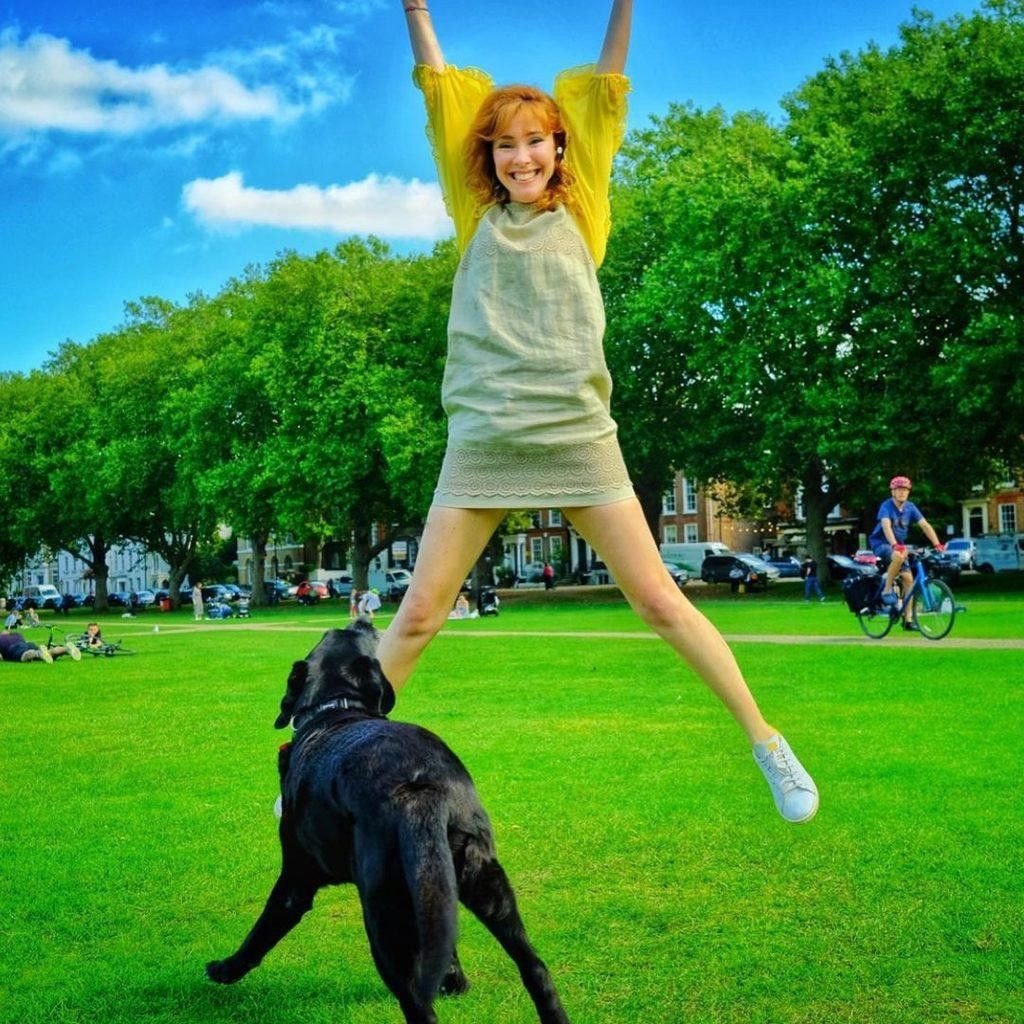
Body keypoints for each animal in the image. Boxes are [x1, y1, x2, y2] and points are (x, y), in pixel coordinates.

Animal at [203, 618, 573, 1024]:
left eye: (331, 632)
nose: (362, 618)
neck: (334, 708)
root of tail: (420, 791)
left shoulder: (296, 879)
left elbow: (262, 931)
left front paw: (224, 969)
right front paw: (454, 980)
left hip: (384, 918)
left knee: (418, 1003)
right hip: (487, 885)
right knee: (535, 969)